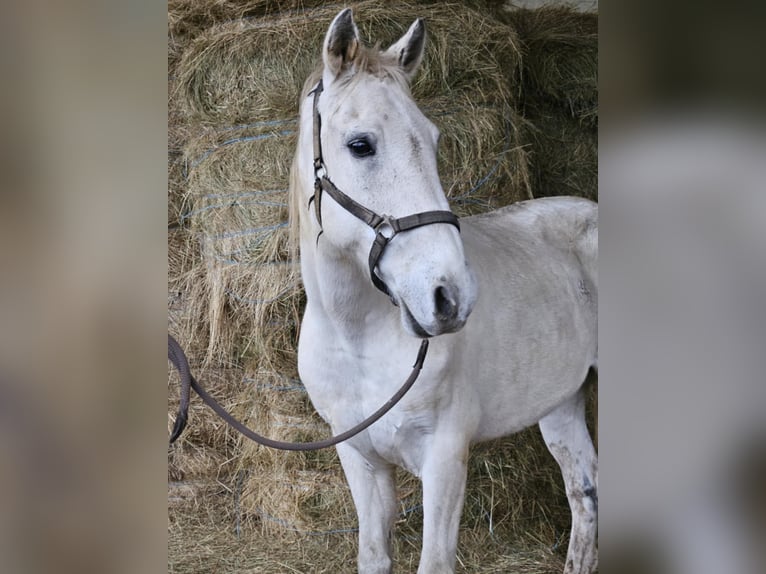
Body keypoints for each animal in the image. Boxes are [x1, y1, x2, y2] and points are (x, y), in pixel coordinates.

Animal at [290, 7, 600, 572]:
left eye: (433, 140)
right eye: (360, 145)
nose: (450, 297)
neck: (357, 338)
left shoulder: (445, 460)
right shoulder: (361, 461)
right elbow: (374, 556)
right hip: (563, 400)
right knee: (583, 491)